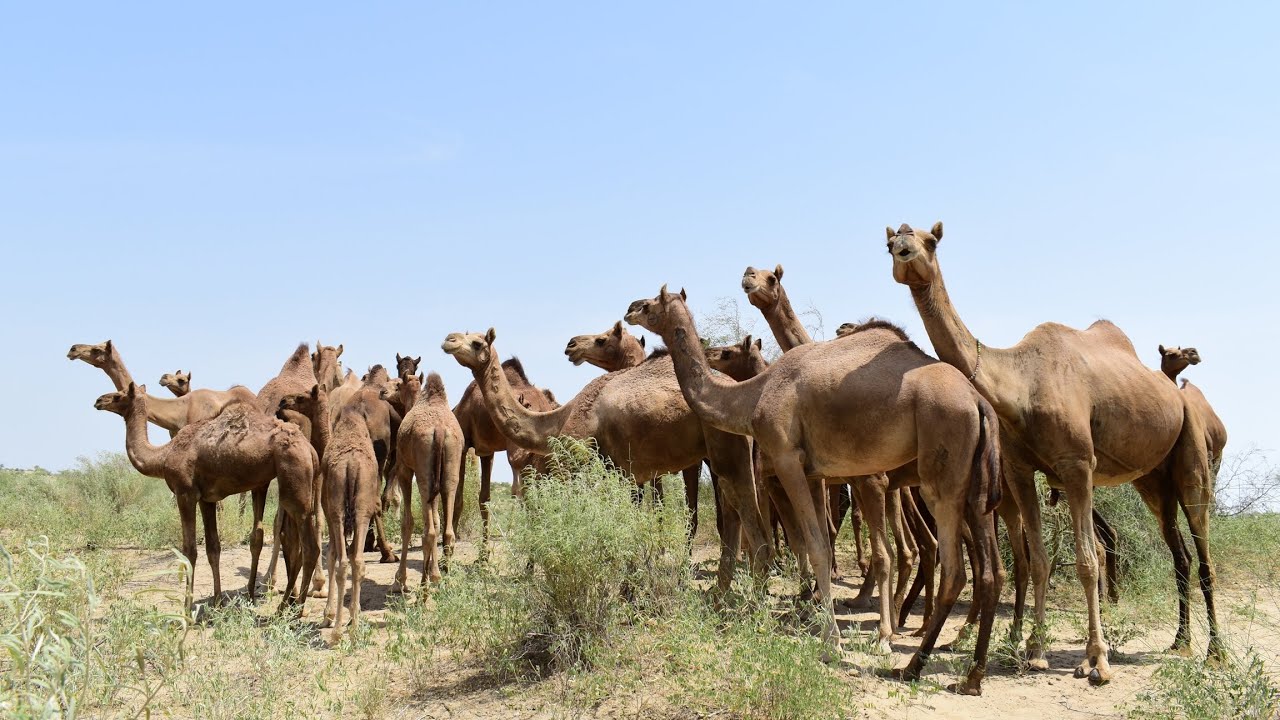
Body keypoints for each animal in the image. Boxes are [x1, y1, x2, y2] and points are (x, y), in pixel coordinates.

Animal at [95, 383, 320, 612]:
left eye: (119, 395)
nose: (99, 401)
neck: (163, 455)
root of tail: (310, 450)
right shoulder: (207, 499)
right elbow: (213, 548)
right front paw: (218, 602)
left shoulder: (185, 493)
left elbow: (190, 550)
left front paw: (187, 608)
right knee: (292, 542)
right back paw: (284, 603)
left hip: (293, 480)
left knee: (309, 547)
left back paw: (291, 609)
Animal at [389, 372, 464, 589]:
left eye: (398, 385)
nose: (383, 392)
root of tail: (439, 429)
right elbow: (438, 521)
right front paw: (434, 572)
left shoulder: (405, 470)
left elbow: (407, 523)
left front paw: (400, 580)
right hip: (449, 472)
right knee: (446, 531)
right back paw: (443, 579)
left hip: (423, 475)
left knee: (428, 531)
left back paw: (424, 585)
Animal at [626, 287, 1002, 694]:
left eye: (651, 303)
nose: (630, 309)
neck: (754, 395)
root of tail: (978, 401)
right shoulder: (813, 471)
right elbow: (816, 540)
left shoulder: (787, 457)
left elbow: (817, 547)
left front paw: (830, 643)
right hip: (972, 483)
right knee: (984, 569)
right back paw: (971, 674)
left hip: (940, 469)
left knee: (955, 570)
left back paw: (912, 664)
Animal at [887, 221, 1218, 684]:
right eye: (891, 240)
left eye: (930, 241)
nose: (902, 249)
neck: (1020, 386)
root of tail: (1178, 393)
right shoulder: (1020, 471)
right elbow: (1040, 560)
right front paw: (1036, 651)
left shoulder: (1077, 465)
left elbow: (1086, 562)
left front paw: (1097, 661)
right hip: (1153, 482)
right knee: (1180, 553)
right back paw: (1181, 643)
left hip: (1191, 457)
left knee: (1204, 554)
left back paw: (1215, 654)